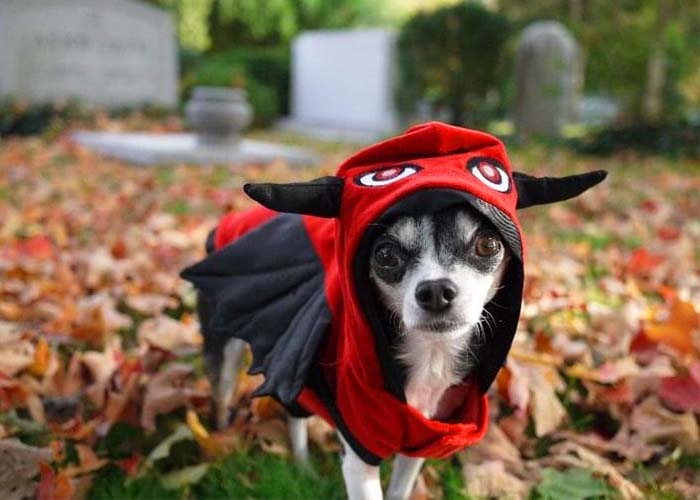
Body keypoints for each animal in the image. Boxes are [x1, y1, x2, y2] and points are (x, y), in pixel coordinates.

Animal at [182, 122, 608, 500]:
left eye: (488, 245)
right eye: (385, 255)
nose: (435, 290)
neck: (431, 361)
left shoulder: (423, 439)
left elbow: (401, 489)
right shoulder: (359, 455)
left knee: (294, 411)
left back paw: (302, 468)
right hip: (228, 350)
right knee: (222, 399)